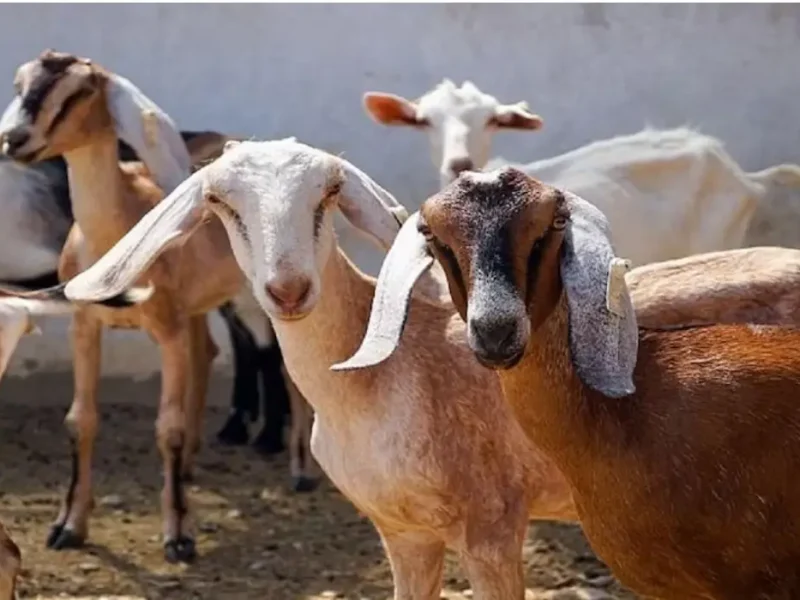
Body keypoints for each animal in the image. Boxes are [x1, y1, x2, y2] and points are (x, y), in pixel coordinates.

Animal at [39, 139, 578, 599]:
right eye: (218, 200)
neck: (382, 374)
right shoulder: (403, 530)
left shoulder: (493, 524)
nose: (289, 290)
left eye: (330, 192)